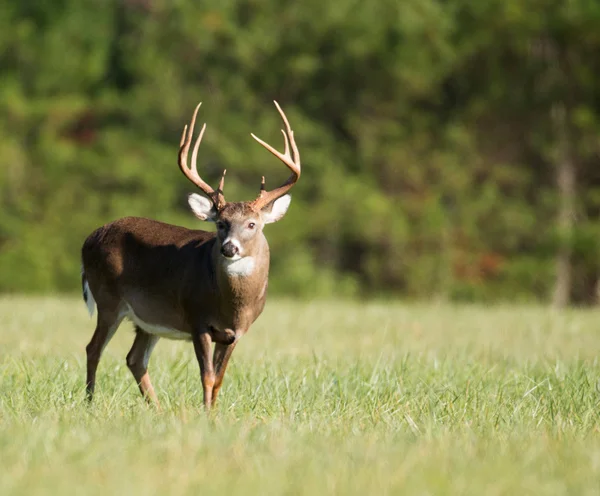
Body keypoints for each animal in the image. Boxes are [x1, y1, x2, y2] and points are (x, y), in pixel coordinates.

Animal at [81, 100, 300, 406]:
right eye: (221, 223)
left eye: (252, 224)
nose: (229, 247)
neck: (233, 306)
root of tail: (90, 238)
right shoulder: (198, 320)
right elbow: (206, 377)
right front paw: (205, 413)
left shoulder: (235, 334)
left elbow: (218, 380)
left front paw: (214, 412)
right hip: (108, 298)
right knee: (93, 348)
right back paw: (90, 402)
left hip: (148, 318)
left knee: (134, 358)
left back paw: (157, 409)